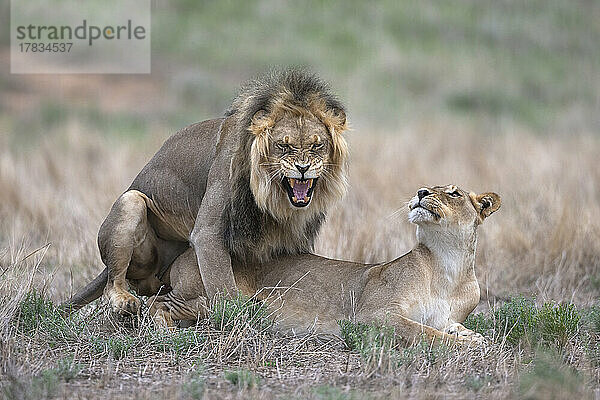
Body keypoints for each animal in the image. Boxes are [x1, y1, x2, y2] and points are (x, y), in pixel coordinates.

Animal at [62, 69, 346, 316]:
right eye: (283, 146)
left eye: (317, 145)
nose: (303, 168)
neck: (275, 202)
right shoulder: (208, 231)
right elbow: (222, 283)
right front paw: (240, 313)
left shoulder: (298, 237)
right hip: (131, 202)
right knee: (113, 280)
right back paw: (124, 301)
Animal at [149, 184, 502, 344]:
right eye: (429, 187)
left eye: (454, 193)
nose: (421, 191)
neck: (447, 264)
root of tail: (185, 252)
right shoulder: (374, 314)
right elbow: (422, 331)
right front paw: (464, 345)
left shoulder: (447, 316)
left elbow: (450, 327)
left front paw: (474, 338)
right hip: (215, 300)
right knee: (156, 303)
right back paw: (163, 332)